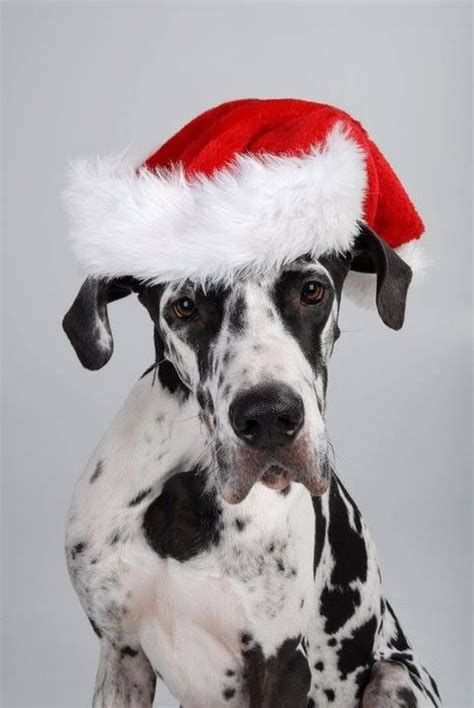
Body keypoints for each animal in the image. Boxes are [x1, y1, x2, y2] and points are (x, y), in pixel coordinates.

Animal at [63, 225, 440, 708]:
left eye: (311, 289)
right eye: (185, 306)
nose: (268, 417)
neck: (188, 484)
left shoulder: (282, 663)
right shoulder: (120, 652)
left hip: (395, 676)